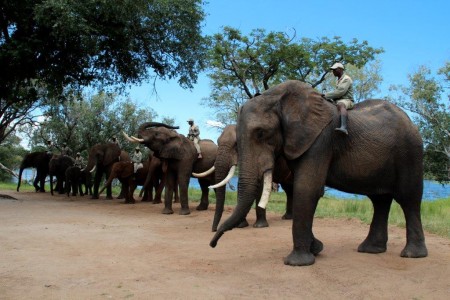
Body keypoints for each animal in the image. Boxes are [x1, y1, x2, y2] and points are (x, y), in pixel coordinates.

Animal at [211, 80, 428, 268]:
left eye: (261, 133)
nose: (213, 243)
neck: (276, 97)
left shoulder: (321, 139)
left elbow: (307, 188)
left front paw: (298, 262)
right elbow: (304, 189)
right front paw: (316, 248)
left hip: (410, 152)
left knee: (408, 198)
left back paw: (413, 255)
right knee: (380, 200)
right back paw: (370, 250)